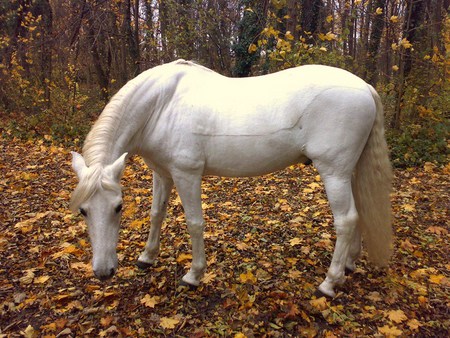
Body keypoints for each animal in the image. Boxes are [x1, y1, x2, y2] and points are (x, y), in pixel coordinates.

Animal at [68, 59, 392, 298]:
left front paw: (194, 275)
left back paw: (329, 282)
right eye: (83, 210)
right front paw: (147, 257)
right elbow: (156, 214)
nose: (103, 272)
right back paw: (348, 265)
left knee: (346, 220)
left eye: (118, 207)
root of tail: (364, 87)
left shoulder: (186, 174)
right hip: (348, 172)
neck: (161, 105)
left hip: (333, 172)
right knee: (358, 212)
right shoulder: (162, 173)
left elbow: (194, 223)